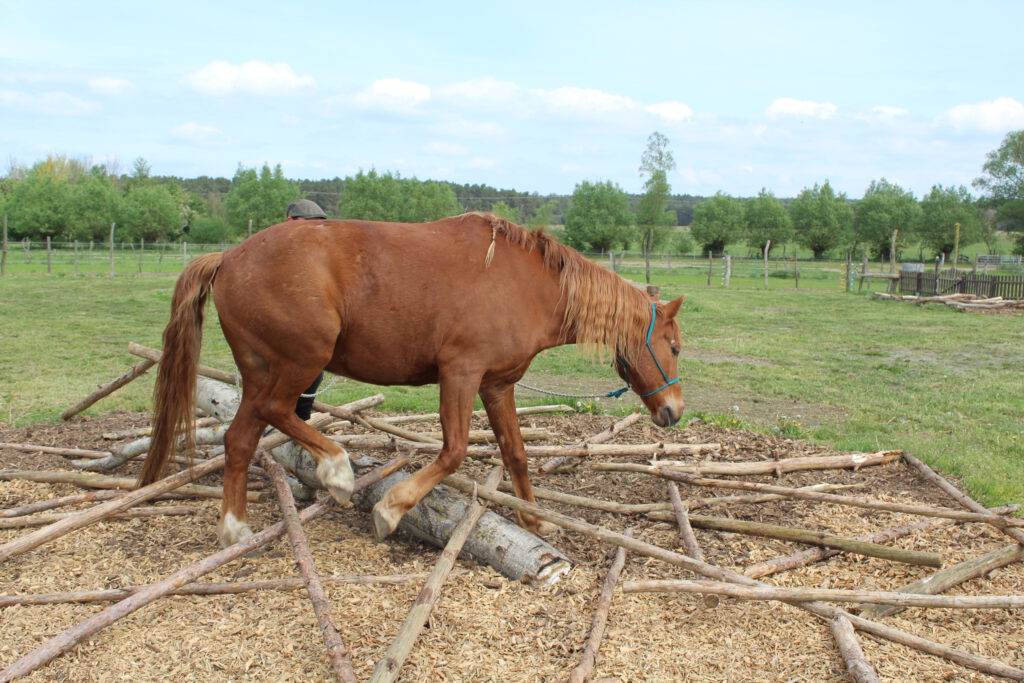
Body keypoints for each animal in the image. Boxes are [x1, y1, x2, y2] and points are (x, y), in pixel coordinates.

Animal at [134, 210, 679, 548]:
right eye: (673, 347)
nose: (673, 411)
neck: (525, 285)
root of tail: (227, 257)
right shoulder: (460, 375)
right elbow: (454, 450)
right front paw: (391, 509)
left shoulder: (496, 385)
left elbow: (516, 454)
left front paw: (533, 518)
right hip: (301, 361)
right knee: (276, 412)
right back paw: (337, 471)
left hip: (261, 371)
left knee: (240, 439)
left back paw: (235, 529)